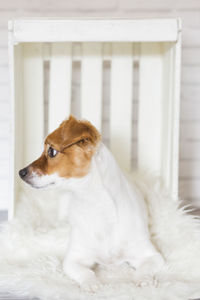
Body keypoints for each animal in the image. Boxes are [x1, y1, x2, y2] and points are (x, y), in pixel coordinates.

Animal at [19, 116, 164, 292]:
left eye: (51, 151)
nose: (20, 172)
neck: (95, 205)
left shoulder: (152, 255)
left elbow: (144, 268)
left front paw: (144, 280)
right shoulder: (73, 260)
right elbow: (86, 272)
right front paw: (92, 284)